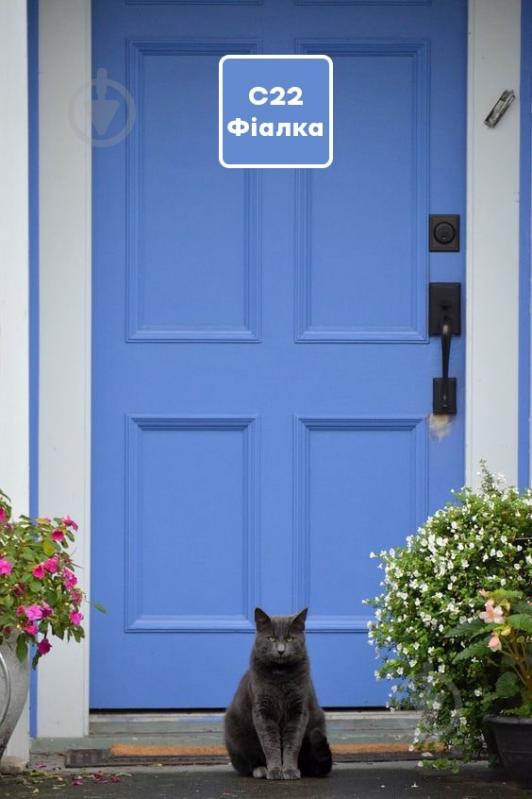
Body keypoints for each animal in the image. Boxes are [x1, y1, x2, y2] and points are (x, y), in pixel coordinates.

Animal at [224, 608, 332, 780]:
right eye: (271, 638)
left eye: (290, 638)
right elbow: (270, 743)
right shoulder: (262, 711)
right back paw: (260, 769)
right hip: (235, 731)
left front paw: (289, 770)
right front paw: (275, 770)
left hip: (317, 725)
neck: (281, 674)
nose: (281, 650)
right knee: (246, 763)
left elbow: (292, 743)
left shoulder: (299, 710)